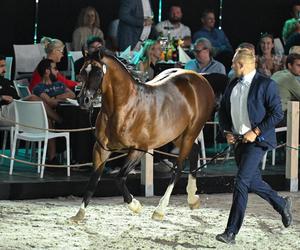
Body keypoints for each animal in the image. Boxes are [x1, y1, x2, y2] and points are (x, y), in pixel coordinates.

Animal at [71, 47, 216, 222]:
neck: (124, 107)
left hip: (190, 132)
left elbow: (119, 178)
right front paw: (79, 214)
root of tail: (201, 79)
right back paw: (192, 199)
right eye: (82, 71)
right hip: (176, 135)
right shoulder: (101, 149)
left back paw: (160, 210)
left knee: (178, 168)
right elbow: (93, 181)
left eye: (98, 72)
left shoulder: (139, 149)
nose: (83, 100)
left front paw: (135, 205)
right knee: (194, 152)